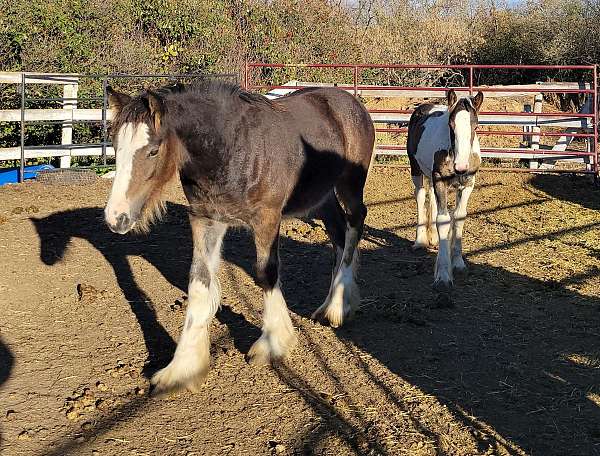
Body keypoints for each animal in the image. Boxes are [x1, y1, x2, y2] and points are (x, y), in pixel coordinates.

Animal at [103, 82, 376, 396]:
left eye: (153, 151)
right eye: (115, 147)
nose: (116, 217)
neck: (229, 150)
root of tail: (352, 102)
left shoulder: (267, 218)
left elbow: (266, 273)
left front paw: (273, 342)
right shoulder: (205, 219)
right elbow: (198, 282)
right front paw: (183, 368)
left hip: (349, 185)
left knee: (354, 225)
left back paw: (337, 308)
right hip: (320, 196)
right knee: (338, 235)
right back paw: (335, 302)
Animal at [406, 90, 486, 292]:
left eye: (476, 125)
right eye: (451, 125)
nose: (461, 167)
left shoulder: (468, 184)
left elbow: (458, 217)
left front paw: (458, 263)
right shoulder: (440, 180)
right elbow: (443, 220)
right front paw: (443, 275)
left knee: (433, 202)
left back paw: (433, 238)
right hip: (416, 169)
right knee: (420, 197)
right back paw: (420, 241)